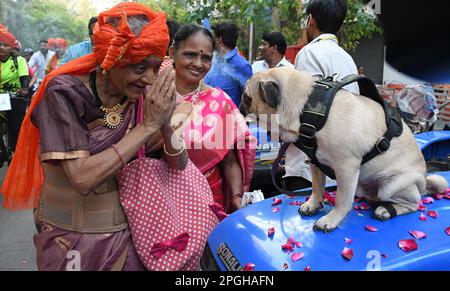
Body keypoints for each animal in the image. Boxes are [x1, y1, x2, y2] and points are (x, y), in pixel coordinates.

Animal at [239, 67, 446, 234]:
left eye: (247, 97)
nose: (240, 106)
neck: (306, 107)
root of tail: (424, 182)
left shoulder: (346, 167)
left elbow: (342, 199)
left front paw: (331, 219)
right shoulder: (316, 163)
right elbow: (317, 187)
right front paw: (313, 204)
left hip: (392, 185)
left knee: (413, 203)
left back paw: (387, 210)